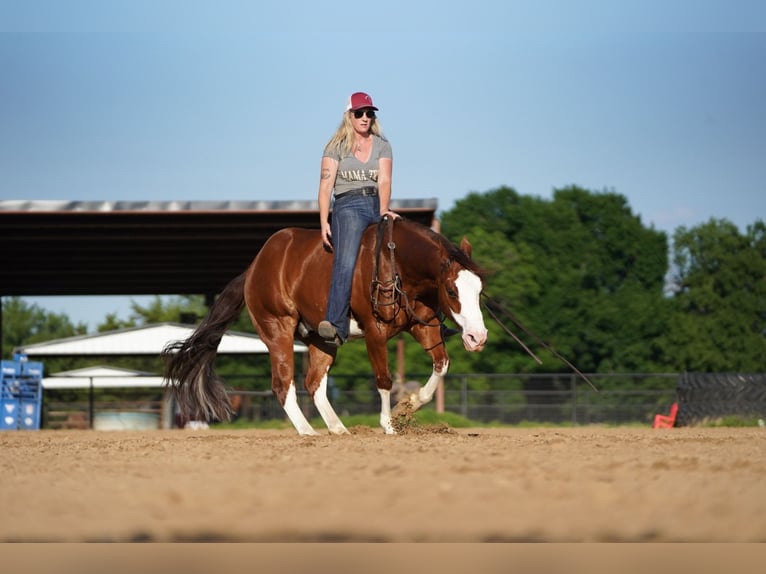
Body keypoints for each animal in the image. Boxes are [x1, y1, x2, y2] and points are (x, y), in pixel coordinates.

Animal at [162, 219, 488, 436]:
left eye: (480, 289)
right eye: (452, 291)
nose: (478, 337)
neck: (395, 263)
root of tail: (254, 268)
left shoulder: (425, 327)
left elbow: (441, 365)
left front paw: (407, 405)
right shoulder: (374, 333)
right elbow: (384, 380)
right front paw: (389, 424)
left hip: (322, 339)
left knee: (314, 383)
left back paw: (338, 429)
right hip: (278, 331)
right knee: (283, 384)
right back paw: (308, 431)